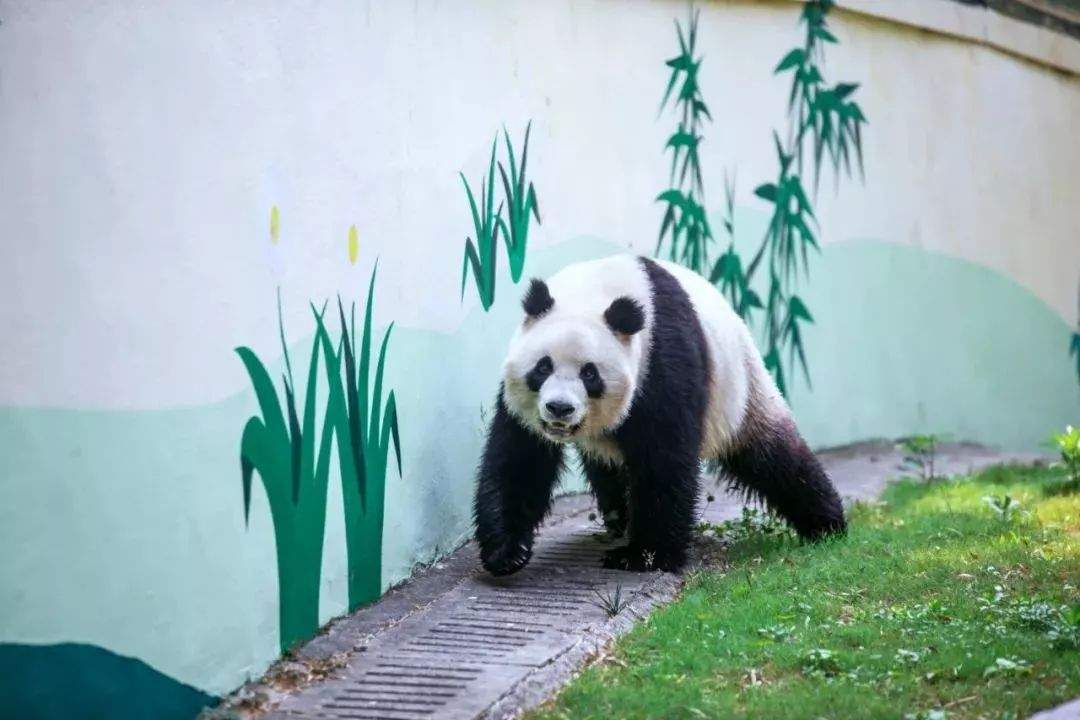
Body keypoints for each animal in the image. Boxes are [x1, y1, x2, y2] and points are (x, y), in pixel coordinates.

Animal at [477, 255, 846, 578]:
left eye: (590, 374)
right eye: (543, 366)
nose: (559, 408)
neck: (594, 290)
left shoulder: (662, 355)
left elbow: (664, 456)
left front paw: (643, 556)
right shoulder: (520, 401)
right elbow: (520, 458)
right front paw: (507, 553)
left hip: (741, 390)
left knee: (775, 458)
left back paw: (827, 525)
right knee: (609, 470)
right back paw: (619, 519)